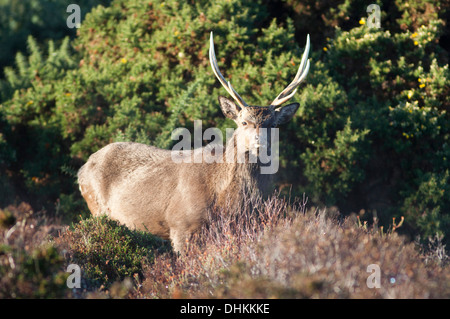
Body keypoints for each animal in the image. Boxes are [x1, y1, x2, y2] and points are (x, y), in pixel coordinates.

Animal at [78, 31, 310, 252]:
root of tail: (83, 167)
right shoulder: (181, 224)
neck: (225, 200)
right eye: (244, 121)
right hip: (95, 206)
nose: (259, 141)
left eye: (274, 124)